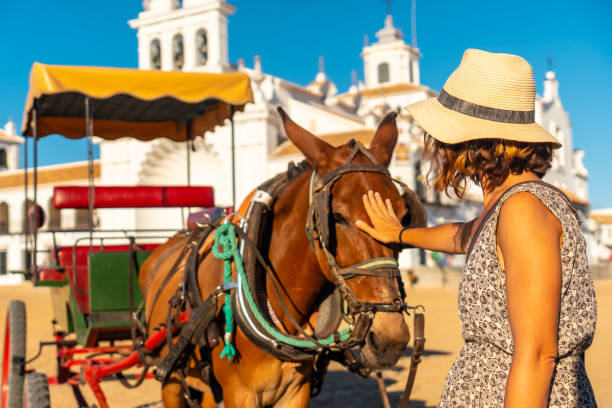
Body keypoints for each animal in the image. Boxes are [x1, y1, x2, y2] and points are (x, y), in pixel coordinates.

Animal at [140, 108, 420, 408]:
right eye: (336, 216)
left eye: (404, 215)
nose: (390, 338)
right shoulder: (239, 395)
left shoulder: (297, 391)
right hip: (171, 381)